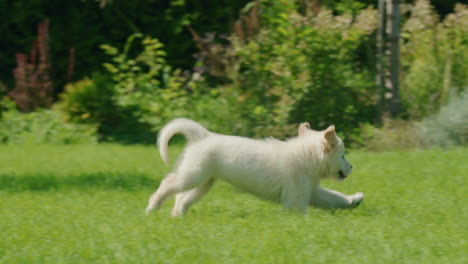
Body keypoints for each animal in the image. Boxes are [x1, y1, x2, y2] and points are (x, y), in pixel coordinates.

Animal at [144, 118, 364, 216]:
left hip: (203, 181)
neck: (305, 156)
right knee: (168, 183)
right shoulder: (295, 199)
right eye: (343, 155)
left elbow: (334, 197)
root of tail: (203, 135)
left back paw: (178, 215)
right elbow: (302, 214)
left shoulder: (310, 191)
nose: (352, 166)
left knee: (182, 197)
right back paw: (152, 207)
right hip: (193, 175)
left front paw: (354, 200)